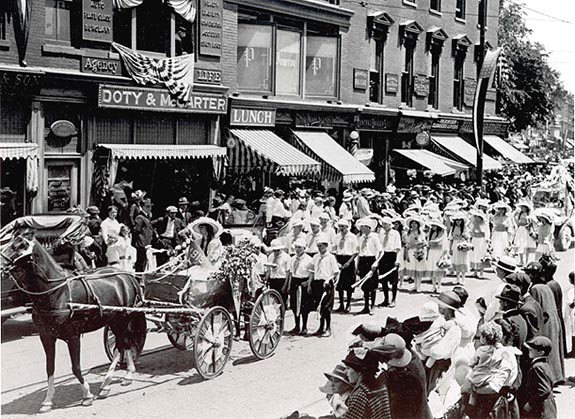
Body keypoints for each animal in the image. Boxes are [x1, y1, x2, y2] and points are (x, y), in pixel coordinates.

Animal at [1, 235, 146, 416]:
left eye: (18, 246)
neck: (58, 293)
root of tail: (127, 276)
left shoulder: (73, 336)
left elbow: (76, 367)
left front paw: (87, 395)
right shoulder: (46, 337)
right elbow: (49, 368)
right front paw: (47, 401)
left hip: (122, 318)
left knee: (122, 345)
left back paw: (111, 381)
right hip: (114, 320)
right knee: (123, 344)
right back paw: (121, 378)